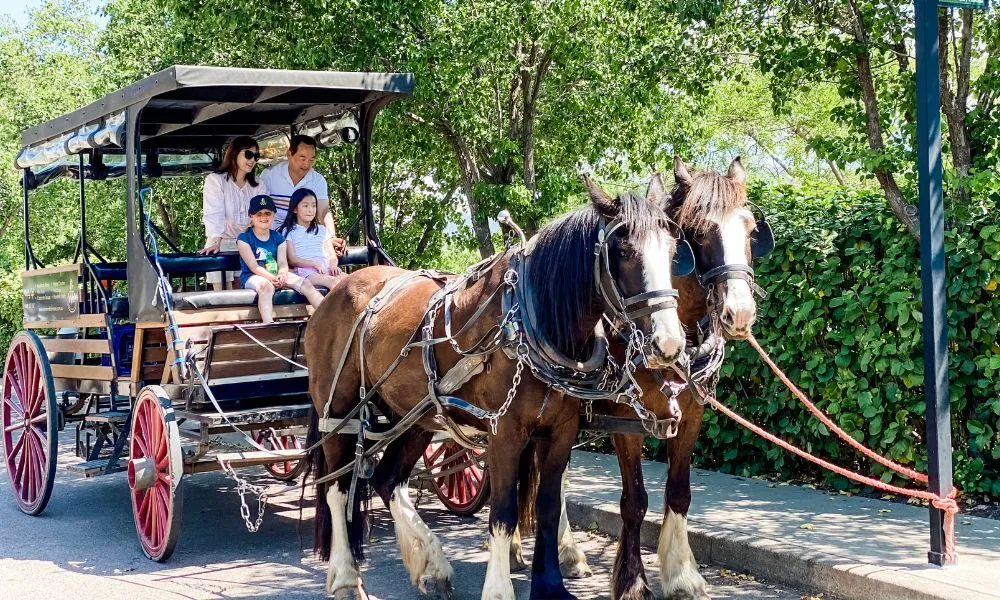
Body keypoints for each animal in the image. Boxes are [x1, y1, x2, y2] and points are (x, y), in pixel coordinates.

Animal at [303, 180, 691, 600]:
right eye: (621, 251)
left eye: (673, 252)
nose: (669, 345)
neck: (531, 320)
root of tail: (339, 288)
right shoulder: (504, 432)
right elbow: (503, 511)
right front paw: (500, 587)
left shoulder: (561, 431)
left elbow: (547, 505)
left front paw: (550, 584)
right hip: (338, 411)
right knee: (337, 488)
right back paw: (346, 575)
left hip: (416, 415)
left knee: (386, 480)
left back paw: (430, 564)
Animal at [541, 156, 774, 600]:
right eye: (698, 232)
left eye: (752, 229)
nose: (739, 313)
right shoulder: (625, 419)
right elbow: (634, 501)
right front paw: (632, 581)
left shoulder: (693, 411)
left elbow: (679, 493)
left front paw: (683, 575)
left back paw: (567, 554)